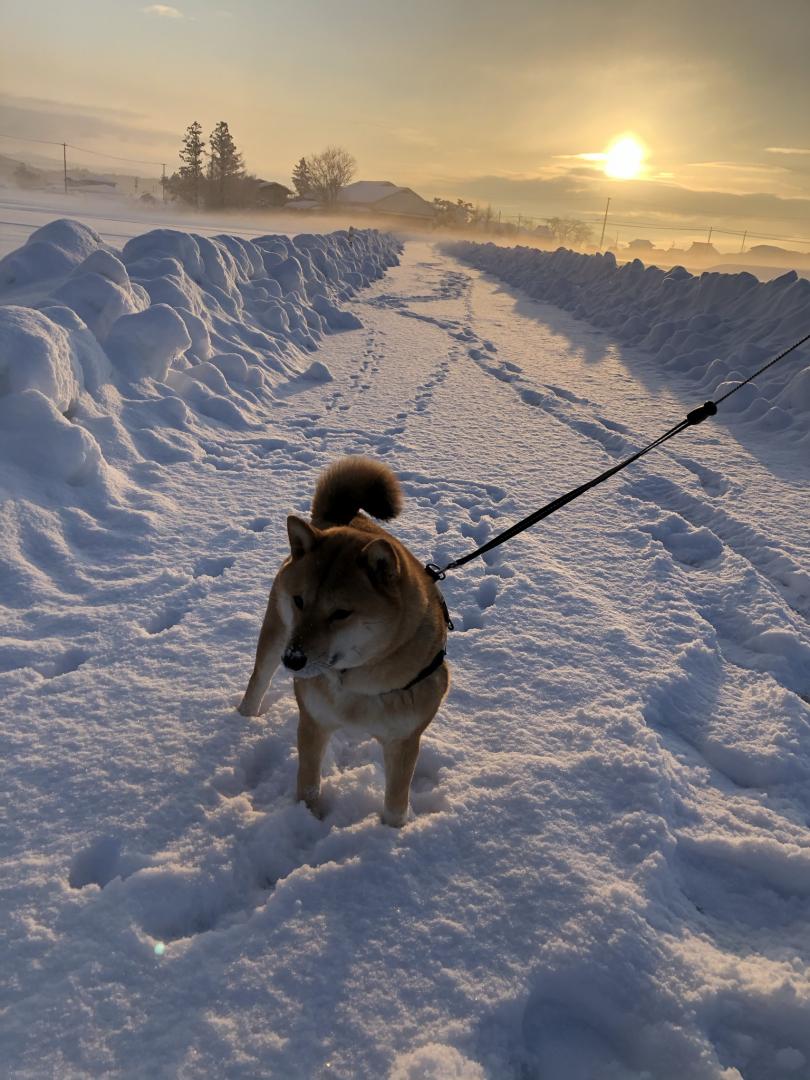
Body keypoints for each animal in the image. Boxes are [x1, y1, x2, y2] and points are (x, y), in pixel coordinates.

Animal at [237, 455, 451, 825]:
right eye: (299, 600)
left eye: (341, 613)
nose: (293, 660)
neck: (358, 681)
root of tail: (336, 521)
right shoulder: (314, 722)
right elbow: (308, 785)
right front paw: (305, 822)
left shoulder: (404, 738)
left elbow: (396, 801)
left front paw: (392, 832)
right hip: (274, 634)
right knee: (258, 679)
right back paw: (245, 718)